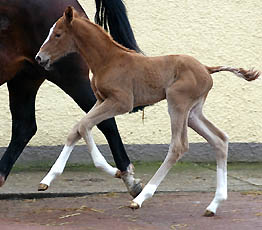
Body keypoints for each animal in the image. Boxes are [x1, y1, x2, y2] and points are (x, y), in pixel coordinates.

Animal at [35, 6, 260, 216]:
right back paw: (213, 205)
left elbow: (84, 126)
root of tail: (206, 68)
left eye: (57, 34)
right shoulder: (101, 100)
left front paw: (113, 170)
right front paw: (47, 179)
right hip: (193, 113)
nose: (39, 58)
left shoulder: (121, 102)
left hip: (177, 103)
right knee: (219, 139)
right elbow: (76, 129)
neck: (108, 60)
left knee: (178, 146)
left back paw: (141, 198)